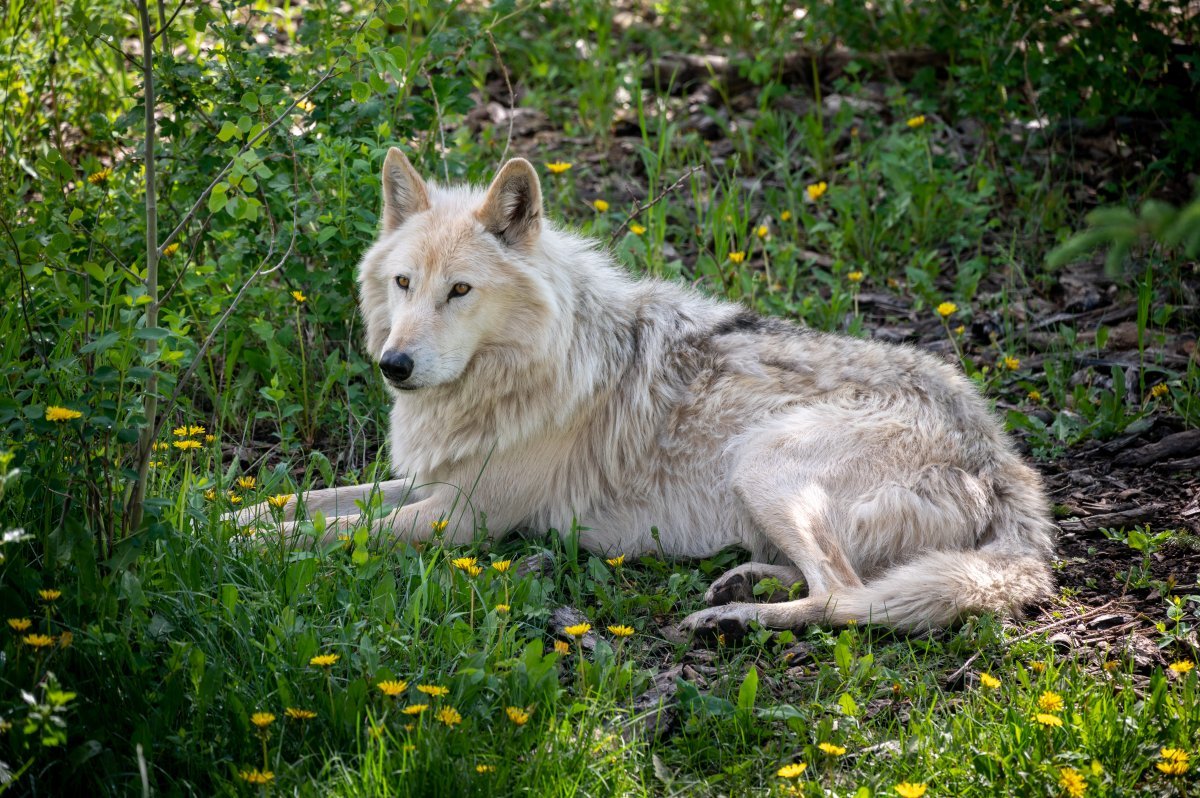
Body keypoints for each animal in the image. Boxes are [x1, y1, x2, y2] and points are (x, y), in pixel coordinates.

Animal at [236, 147, 1060, 633]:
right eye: (405, 283)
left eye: (460, 291)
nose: (395, 365)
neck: (530, 367)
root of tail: (1002, 457)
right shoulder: (426, 482)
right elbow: (304, 501)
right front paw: (221, 514)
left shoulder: (465, 520)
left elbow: (330, 532)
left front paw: (237, 545)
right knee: (841, 578)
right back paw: (740, 584)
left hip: (764, 462)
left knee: (848, 594)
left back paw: (733, 620)